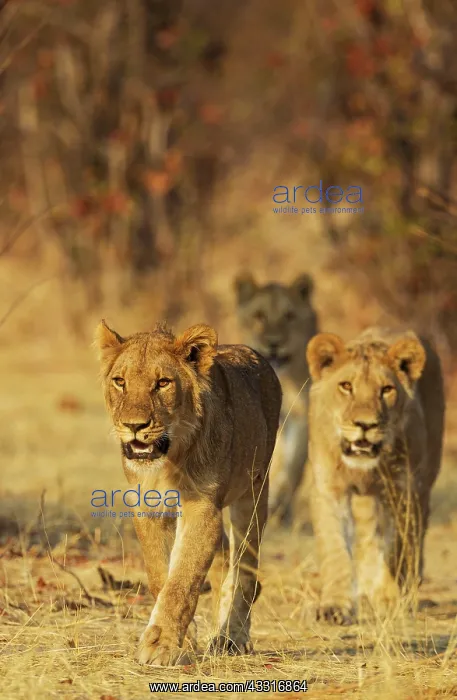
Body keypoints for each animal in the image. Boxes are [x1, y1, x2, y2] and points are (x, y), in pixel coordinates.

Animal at [95, 320, 282, 665]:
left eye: (163, 383)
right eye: (120, 382)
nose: (134, 425)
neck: (169, 459)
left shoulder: (202, 510)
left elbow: (183, 578)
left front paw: (161, 644)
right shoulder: (148, 509)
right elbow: (161, 575)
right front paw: (184, 641)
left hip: (252, 495)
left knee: (245, 571)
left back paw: (231, 638)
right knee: (225, 562)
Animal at [234, 273, 318, 523]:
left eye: (289, 316)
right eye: (259, 316)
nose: (274, 342)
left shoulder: (301, 414)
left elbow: (294, 464)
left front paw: (279, 501)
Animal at [306, 327, 445, 624]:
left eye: (387, 390)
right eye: (346, 386)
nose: (365, 424)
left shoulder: (403, 490)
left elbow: (396, 547)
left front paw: (389, 600)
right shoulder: (329, 489)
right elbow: (335, 548)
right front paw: (335, 607)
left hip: (425, 479)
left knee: (414, 537)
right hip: (368, 499)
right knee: (369, 535)